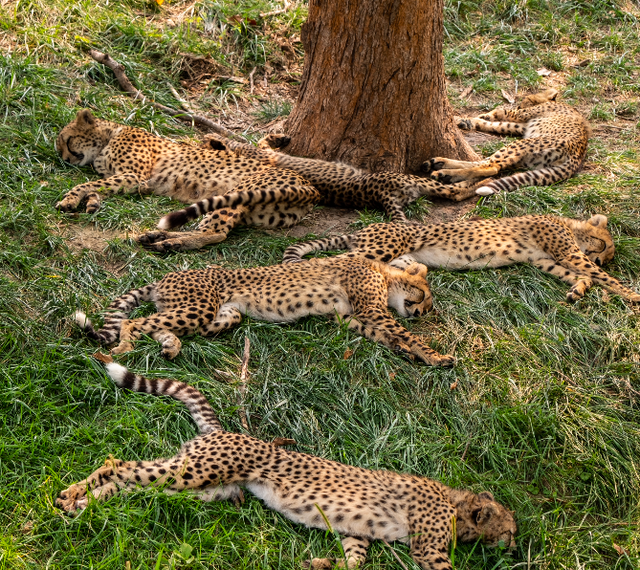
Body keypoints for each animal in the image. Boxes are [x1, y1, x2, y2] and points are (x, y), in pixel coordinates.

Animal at [57, 356, 516, 568]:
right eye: (509, 529)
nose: (514, 546)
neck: (457, 504)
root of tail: (229, 431)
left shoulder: (356, 530)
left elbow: (356, 558)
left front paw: (325, 563)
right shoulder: (427, 545)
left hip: (203, 489)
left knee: (134, 484)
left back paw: (83, 504)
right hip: (195, 472)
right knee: (118, 463)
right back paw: (71, 494)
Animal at [75, 256, 456, 366]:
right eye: (424, 295)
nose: (421, 313)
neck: (383, 273)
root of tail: (167, 275)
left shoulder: (350, 318)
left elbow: (385, 335)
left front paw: (410, 353)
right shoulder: (373, 310)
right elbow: (402, 333)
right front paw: (436, 356)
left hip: (219, 313)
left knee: (161, 325)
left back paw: (171, 345)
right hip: (199, 305)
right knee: (136, 321)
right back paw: (124, 347)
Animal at [424, 89, 592, 195]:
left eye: (525, 99)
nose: (519, 103)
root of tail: (577, 157)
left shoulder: (522, 116)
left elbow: (501, 112)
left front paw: (466, 118)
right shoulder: (521, 125)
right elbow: (498, 124)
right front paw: (467, 121)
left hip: (520, 145)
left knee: (491, 166)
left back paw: (445, 173)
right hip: (525, 158)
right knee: (484, 162)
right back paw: (440, 163)